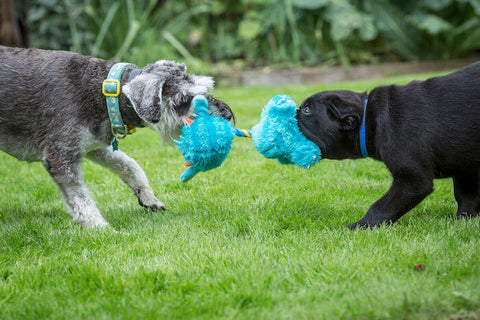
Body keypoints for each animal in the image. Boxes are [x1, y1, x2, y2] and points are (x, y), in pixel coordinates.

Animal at [0, 46, 232, 229]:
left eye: (207, 88)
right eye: (183, 100)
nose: (228, 115)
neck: (105, 92)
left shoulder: (94, 146)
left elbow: (130, 165)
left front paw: (149, 198)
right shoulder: (61, 156)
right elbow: (81, 198)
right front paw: (101, 229)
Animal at [296, 62, 480, 228]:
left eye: (307, 110)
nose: (293, 112)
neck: (370, 118)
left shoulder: (413, 179)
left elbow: (380, 207)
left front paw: (358, 227)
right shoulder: (465, 166)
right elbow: (466, 196)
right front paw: (464, 221)